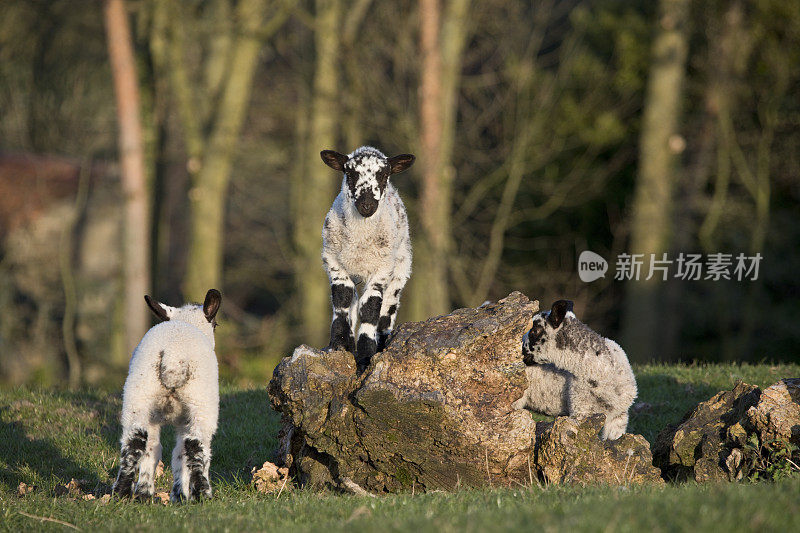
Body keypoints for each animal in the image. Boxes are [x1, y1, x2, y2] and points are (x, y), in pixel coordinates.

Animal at [112, 288, 222, 500]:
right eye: (216, 324)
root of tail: (173, 356)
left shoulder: (160, 419)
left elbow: (163, 451)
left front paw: (170, 495)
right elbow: (182, 452)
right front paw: (181, 495)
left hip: (139, 394)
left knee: (136, 439)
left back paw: (125, 492)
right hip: (201, 401)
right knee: (196, 444)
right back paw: (204, 493)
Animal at [318, 147, 416, 370]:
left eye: (383, 174)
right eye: (351, 173)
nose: (367, 205)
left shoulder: (381, 269)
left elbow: (371, 307)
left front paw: (366, 355)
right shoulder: (333, 262)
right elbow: (342, 298)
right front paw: (339, 344)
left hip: (401, 267)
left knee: (388, 306)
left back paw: (382, 340)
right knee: (353, 301)